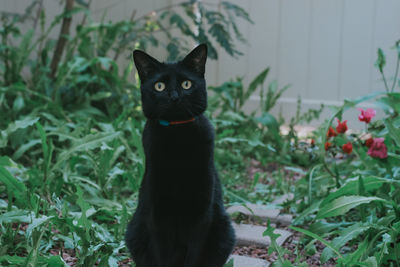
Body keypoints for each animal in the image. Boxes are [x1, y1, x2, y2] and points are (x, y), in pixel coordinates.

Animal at [125, 44, 236, 267]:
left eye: (186, 84)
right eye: (159, 86)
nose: (174, 97)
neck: (178, 135)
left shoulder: (202, 211)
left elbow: (193, 256)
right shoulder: (157, 211)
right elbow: (163, 256)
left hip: (225, 231)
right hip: (134, 231)